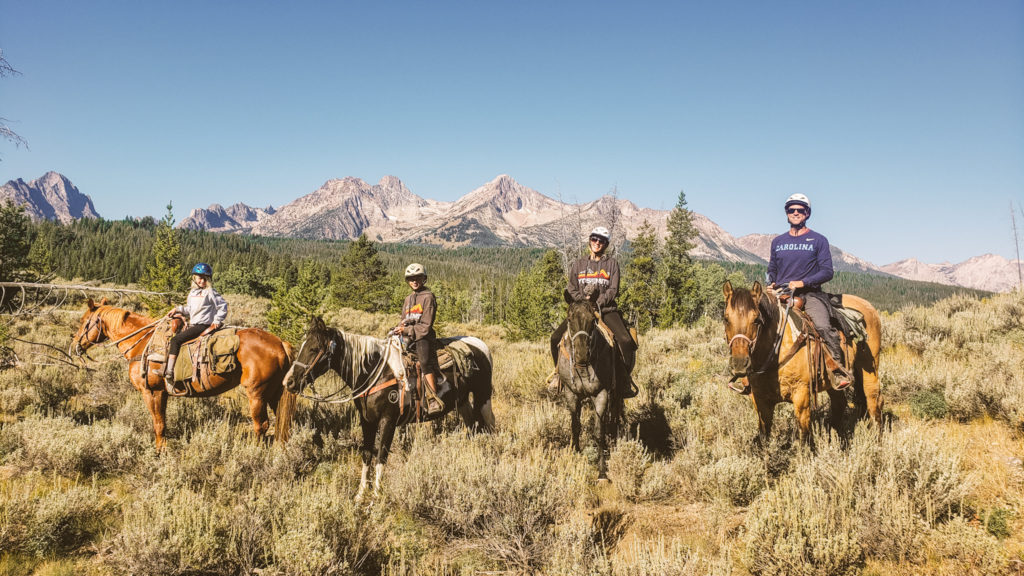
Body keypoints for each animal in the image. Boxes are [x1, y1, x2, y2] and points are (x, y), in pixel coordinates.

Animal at [70, 297, 294, 450]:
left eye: (84, 321)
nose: (75, 345)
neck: (143, 343)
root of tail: (279, 343)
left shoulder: (151, 391)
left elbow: (158, 423)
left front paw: (160, 450)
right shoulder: (163, 393)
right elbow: (162, 422)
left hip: (256, 393)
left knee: (261, 425)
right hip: (274, 393)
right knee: (281, 424)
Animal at [284, 313, 495, 498]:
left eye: (314, 348)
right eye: (302, 346)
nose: (289, 382)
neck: (374, 370)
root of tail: (481, 345)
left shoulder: (388, 420)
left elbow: (381, 456)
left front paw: (377, 496)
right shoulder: (367, 420)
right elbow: (367, 454)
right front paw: (361, 494)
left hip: (483, 397)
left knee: (489, 428)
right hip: (463, 402)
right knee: (473, 428)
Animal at [561, 289, 622, 477]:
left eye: (592, 320)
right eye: (569, 319)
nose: (582, 355)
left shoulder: (601, 394)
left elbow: (598, 432)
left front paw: (602, 471)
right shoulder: (571, 393)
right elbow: (575, 426)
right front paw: (575, 454)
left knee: (614, 417)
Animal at [720, 278, 880, 444]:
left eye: (756, 319)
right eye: (726, 319)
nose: (739, 363)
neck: (775, 352)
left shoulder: (801, 396)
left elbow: (804, 438)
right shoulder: (760, 401)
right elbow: (764, 437)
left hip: (868, 367)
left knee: (873, 399)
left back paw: (877, 438)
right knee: (839, 403)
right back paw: (834, 438)